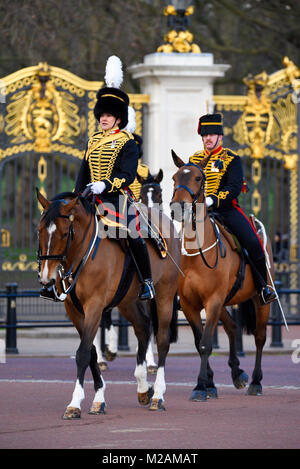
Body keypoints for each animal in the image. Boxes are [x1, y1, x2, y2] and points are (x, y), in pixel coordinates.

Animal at [36, 189, 179, 416]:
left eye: (65, 233)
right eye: (39, 230)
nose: (46, 279)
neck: (82, 254)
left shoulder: (94, 306)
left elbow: (83, 353)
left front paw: (75, 403)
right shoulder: (75, 311)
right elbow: (92, 353)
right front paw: (98, 398)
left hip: (165, 295)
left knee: (163, 340)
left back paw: (158, 395)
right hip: (128, 301)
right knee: (143, 329)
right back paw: (142, 388)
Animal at [170, 152, 274, 400]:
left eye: (198, 178)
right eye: (174, 177)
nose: (178, 208)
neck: (196, 254)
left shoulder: (213, 300)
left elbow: (206, 343)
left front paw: (201, 386)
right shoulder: (190, 304)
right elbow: (199, 341)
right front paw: (209, 384)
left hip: (259, 301)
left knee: (259, 337)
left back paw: (256, 381)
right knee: (232, 327)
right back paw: (237, 373)